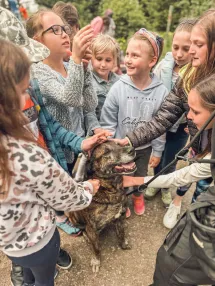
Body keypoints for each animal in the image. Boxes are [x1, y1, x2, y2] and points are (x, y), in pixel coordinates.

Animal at [69, 141, 136, 272]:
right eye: (106, 152)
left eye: (118, 144)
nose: (132, 149)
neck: (110, 191)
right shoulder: (91, 228)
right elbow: (96, 248)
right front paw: (96, 260)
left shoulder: (120, 217)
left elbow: (122, 234)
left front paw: (123, 245)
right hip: (72, 214)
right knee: (81, 228)